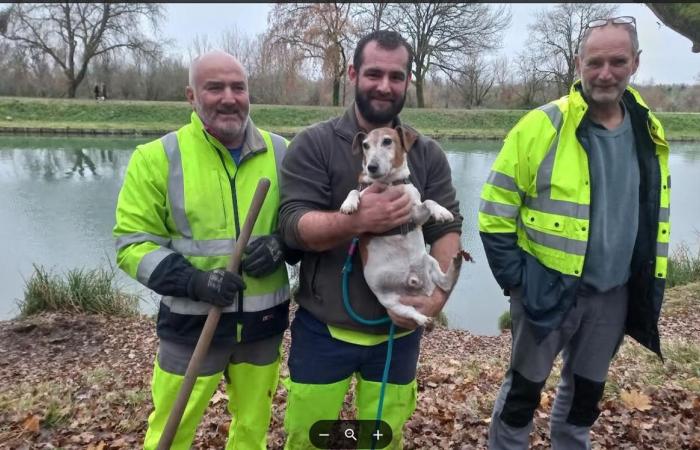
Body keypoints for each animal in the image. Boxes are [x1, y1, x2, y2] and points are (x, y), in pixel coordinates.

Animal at [338, 125, 462, 326]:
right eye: (365, 145)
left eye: (387, 141)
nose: (371, 167)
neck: (389, 183)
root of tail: (415, 283)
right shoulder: (366, 199)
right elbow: (354, 191)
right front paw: (348, 204)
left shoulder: (416, 216)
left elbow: (429, 201)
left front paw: (441, 211)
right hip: (392, 303)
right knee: (410, 311)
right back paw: (422, 319)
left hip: (430, 262)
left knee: (445, 283)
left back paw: (456, 263)